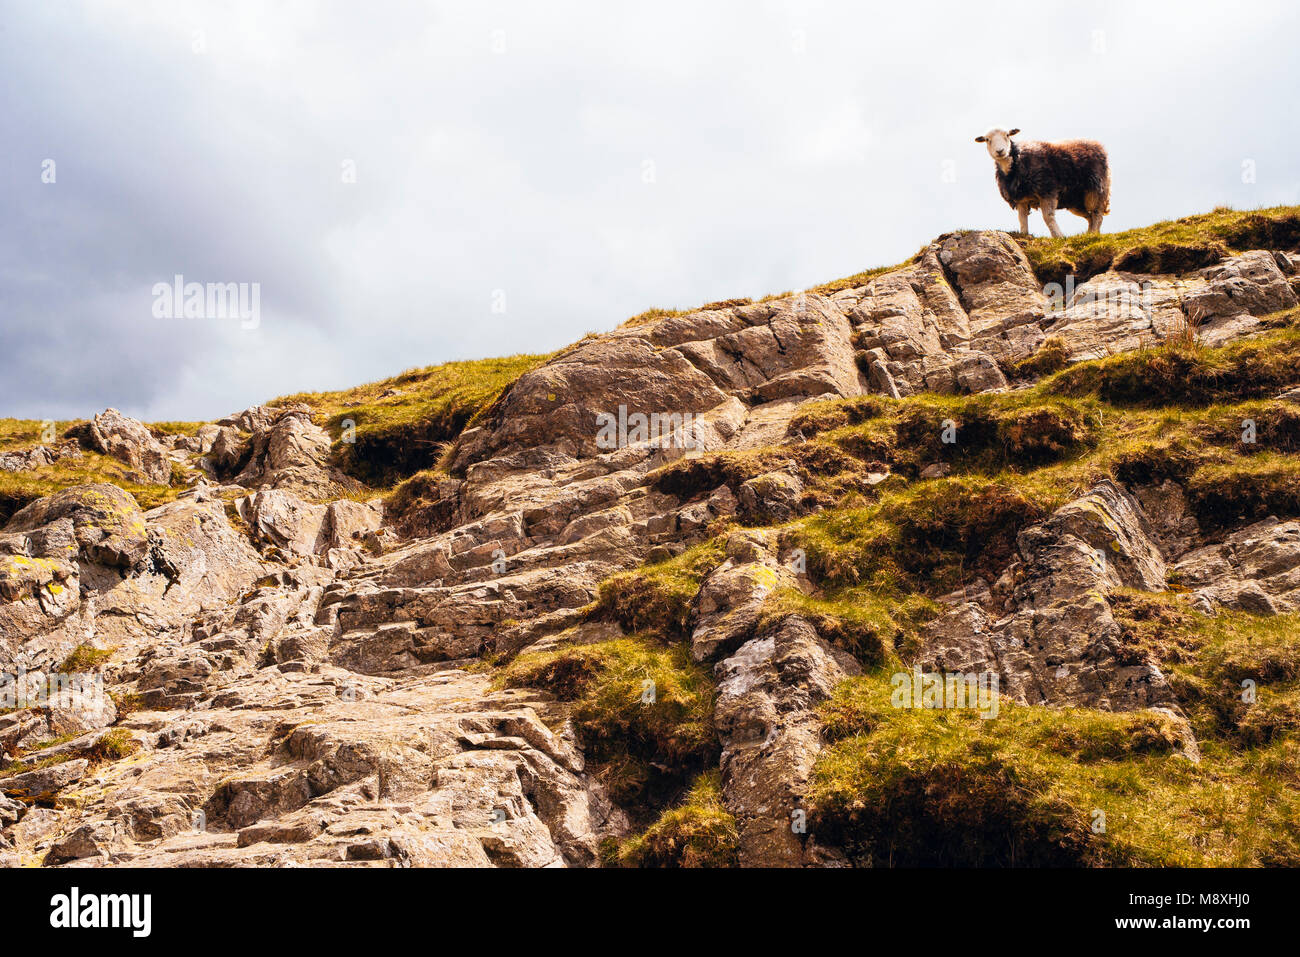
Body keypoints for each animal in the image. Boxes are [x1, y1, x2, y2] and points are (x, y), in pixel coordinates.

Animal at [977, 127, 1107, 237]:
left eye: (1007, 135)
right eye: (987, 139)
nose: (1000, 151)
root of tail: (1096, 145)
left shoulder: (1047, 190)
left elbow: (1048, 217)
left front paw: (1059, 237)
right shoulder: (1021, 199)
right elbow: (1022, 219)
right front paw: (1024, 234)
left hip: (1097, 188)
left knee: (1097, 214)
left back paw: (1093, 234)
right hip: (1075, 201)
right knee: (1090, 216)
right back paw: (1090, 234)